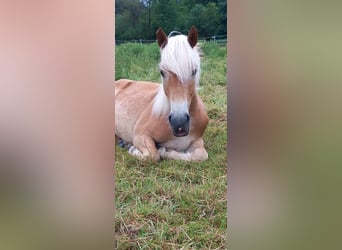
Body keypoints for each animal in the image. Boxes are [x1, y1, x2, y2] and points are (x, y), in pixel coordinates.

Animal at [115, 25, 208, 162]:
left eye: (194, 71)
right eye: (162, 72)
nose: (179, 123)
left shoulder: (197, 140)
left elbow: (201, 155)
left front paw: (165, 151)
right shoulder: (140, 135)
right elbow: (153, 155)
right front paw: (133, 149)